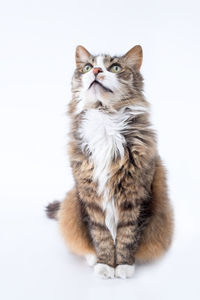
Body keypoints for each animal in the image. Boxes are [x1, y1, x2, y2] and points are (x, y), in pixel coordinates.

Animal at [45, 45, 173, 280]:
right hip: (71, 204)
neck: (105, 119)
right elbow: (101, 235)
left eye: (115, 68)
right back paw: (91, 258)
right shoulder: (90, 196)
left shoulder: (135, 196)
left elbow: (127, 236)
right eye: (87, 67)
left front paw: (123, 266)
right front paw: (104, 264)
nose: (96, 70)